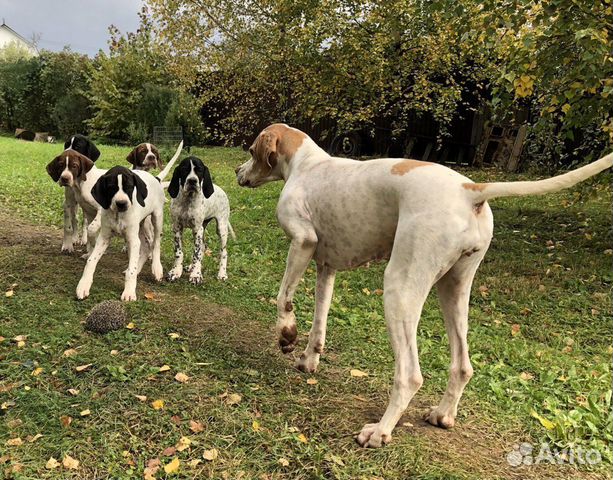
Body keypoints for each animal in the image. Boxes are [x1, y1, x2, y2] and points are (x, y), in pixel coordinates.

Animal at [77, 165, 166, 300]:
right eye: (111, 187)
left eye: (129, 186)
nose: (121, 203)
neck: (118, 215)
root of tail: (155, 178)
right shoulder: (104, 238)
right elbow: (91, 261)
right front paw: (83, 285)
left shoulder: (132, 241)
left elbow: (131, 270)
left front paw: (129, 292)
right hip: (140, 226)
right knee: (146, 247)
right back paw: (139, 268)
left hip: (157, 218)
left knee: (155, 243)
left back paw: (157, 268)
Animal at [167, 156, 234, 284]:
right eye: (184, 169)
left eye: (199, 170)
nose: (192, 181)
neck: (188, 200)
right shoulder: (177, 227)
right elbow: (179, 252)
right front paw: (176, 271)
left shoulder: (197, 229)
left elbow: (196, 253)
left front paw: (196, 275)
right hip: (203, 227)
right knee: (203, 246)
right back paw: (190, 266)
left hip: (221, 228)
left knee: (223, 252)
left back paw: (222, 273)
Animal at [235, 124, 612, 450]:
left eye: (251, 150)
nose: (238, 171)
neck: (307, 163)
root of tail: (469, 191)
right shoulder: (327, 268)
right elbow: (319, 325)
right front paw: (308, 360)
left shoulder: (302, 242)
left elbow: (283, 297)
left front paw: (286, 335)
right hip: (453, 291)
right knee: (463, 365)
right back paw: (443, 414)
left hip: (399, 290)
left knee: (410, 375)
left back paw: (380, 431)